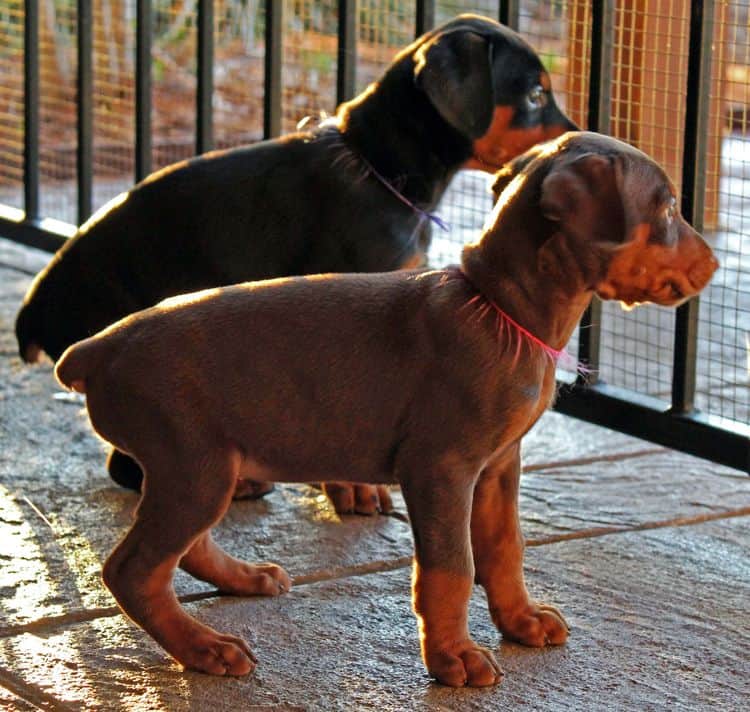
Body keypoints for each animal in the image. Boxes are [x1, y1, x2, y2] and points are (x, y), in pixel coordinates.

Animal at [16, 12, 576, 512]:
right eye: (535, 95)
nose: (578, 137)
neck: (376, 167)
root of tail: (34, 307)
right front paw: (351, 490)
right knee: (132, 466)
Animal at [54, 134, 724, 684]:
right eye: (667, 208)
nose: (716, 262)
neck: (499, 310)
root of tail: (97, 346)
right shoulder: (441, 469)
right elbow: (452, 568)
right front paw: (454, 659)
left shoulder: (498, 467)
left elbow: (504, 549)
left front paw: (521, 621)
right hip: (191, 460)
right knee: (134, 570)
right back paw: (203, 649)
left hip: (207, 466)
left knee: (182, 549)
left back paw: (243, 581)